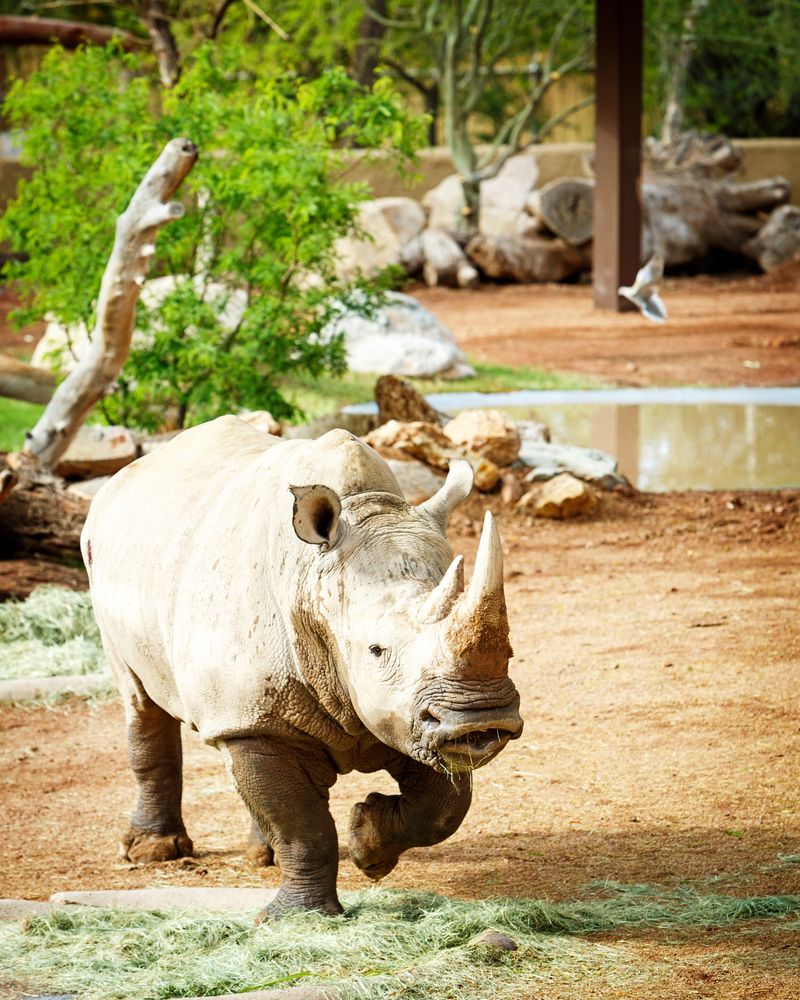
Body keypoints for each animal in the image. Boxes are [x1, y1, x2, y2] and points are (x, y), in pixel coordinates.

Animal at [82, 415, 523, 919]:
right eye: (376, 650)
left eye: (510, 650)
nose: (482, 720)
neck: (312, 579)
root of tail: (128, 473)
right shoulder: (252, 723)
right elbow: (302, 826)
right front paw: (299, 918)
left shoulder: (412, 716)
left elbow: (443, 808)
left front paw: (366, 840)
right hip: (101, 559)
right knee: (140, 700)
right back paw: (153, 852)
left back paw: (262, 854)